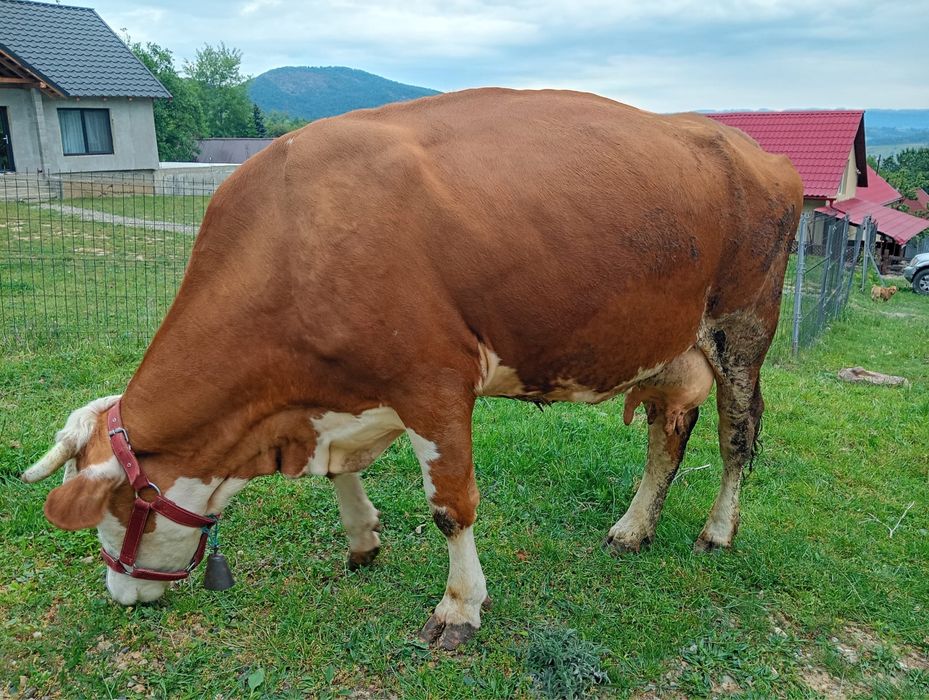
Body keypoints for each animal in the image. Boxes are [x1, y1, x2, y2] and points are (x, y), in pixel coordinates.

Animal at [22, 88, 802, 651]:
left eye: (114, 512)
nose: (121, 596)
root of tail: (756, 151)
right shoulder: (343, 395)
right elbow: (342, 473)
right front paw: (362, 540)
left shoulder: (435, 384)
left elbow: (450, 508)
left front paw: (458, 609)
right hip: (672, 345)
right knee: (668, 432)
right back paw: (633, 528)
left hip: (742, 328)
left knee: (737, 436)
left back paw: (718, 531)